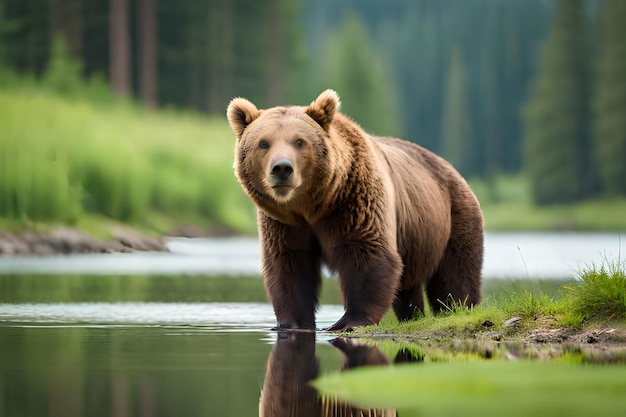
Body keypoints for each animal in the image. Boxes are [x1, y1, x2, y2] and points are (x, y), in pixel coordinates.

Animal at [227, 89, 480, 330]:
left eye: (299, 141)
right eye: (263, 143)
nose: (282, 168)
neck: (314, 205)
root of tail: (450, 168)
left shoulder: (354, 202)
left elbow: (367, 254)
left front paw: (349, 321)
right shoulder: (284, 223)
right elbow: (290, 265)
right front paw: (291, 322)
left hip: (453, 217)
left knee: (455, 275)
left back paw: (458, 308)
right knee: (408, 286)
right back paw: (413, 315)